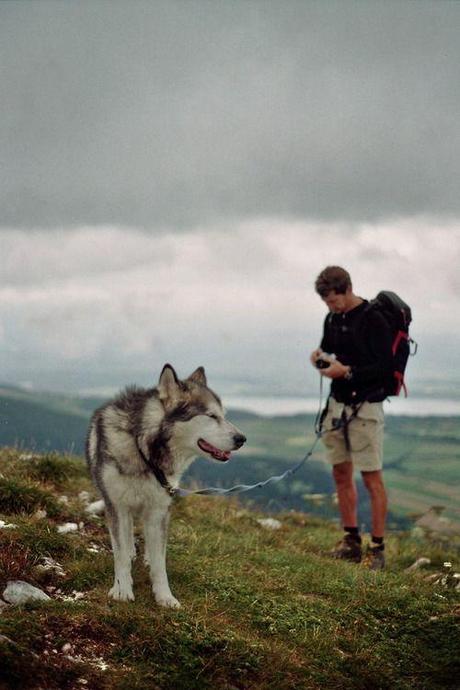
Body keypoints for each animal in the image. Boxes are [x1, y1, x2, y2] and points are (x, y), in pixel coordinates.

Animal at [85, 362, 244, 604]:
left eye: (224, 416)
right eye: (211, 416)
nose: (242, 439)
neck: (145, 452)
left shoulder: (159, 509)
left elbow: (160, 563)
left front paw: (164, 597)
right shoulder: (117, 505)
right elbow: (120, 555)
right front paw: (122, 589)